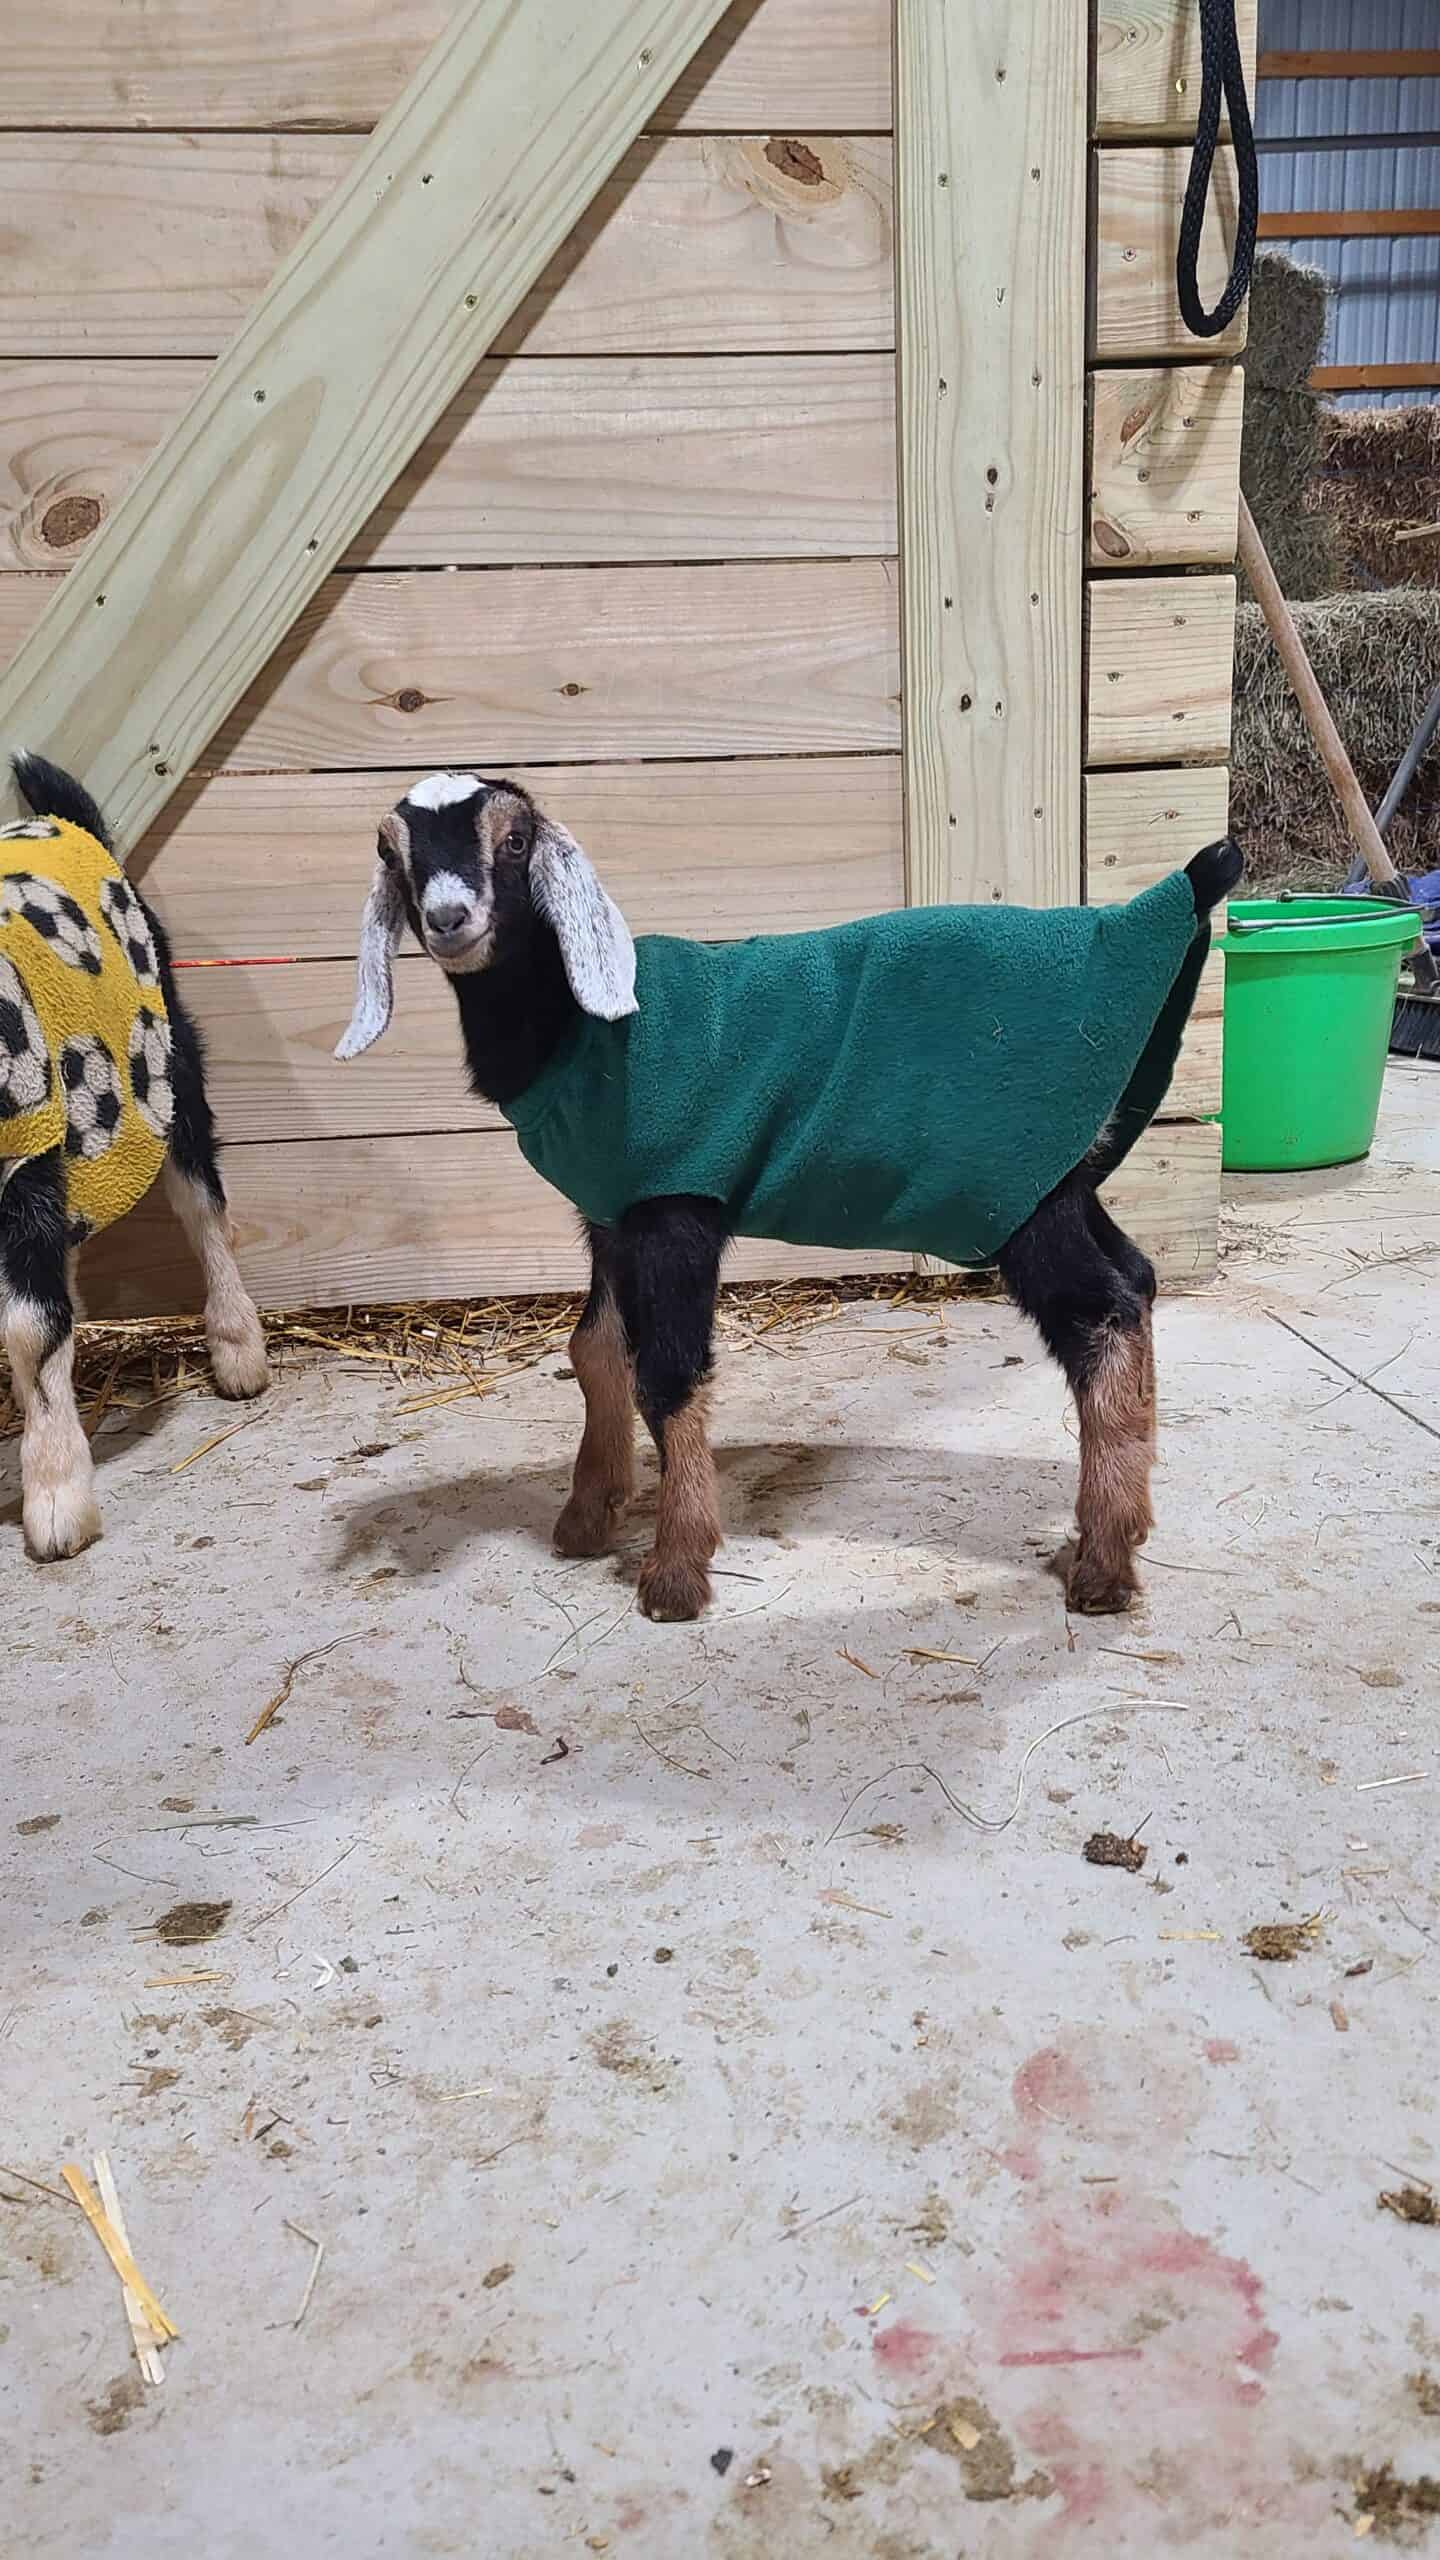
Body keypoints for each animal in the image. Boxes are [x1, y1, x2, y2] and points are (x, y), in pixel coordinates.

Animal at [1, 755, 269, 1558]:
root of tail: (59, 818)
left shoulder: (25, 1155)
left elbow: (27, 1326)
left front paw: (57, 1498)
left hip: (168, 1060)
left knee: (202, 1205)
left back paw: (238, 1348)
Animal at [336, 772, 1241, 1621]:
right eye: (389, 850)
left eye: (517, 840)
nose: (451, 916)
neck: (575, 1031)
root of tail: (1166, 902)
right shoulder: (610, 1214)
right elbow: (595, 1353)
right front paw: (588, 1517)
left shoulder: (676, 1206)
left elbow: (667, 1374)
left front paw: (675, 1571)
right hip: (1060, 1180)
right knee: (1139, 1280)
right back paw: (1120, 1522)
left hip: (1010, 1191)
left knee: (1104, 1311)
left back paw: (1106, 1563)